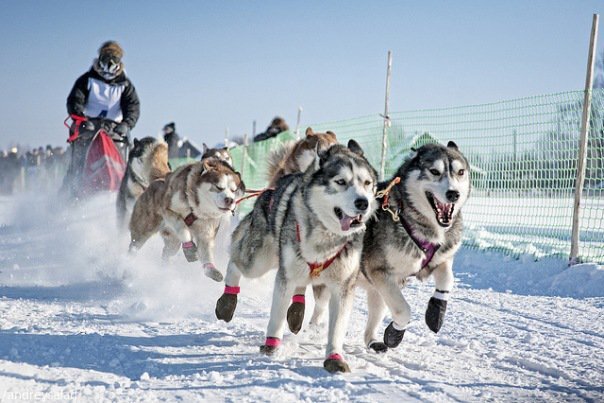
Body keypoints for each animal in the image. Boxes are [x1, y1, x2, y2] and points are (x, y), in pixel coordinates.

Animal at [217, 141, 378, 372]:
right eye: (341, 182)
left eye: (367, 183)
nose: (363, 203)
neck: (326, 237)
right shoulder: (285, 277)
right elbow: (276, 315)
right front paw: (271, 347)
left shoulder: (343, 286)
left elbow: (337, 326)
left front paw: (335, 357)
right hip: (258, 261)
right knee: (235, 263)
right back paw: (227, 301)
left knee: (301, 287)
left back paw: (297, 311)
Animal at [356, 142, 470, 354]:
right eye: (434, 171)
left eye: (460, 172)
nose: (453, 193)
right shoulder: (381, 273)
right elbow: (403, 311)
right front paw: (394, 333)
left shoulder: (441, 259)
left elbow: (447, 279)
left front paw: (436, 311)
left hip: (375, 292)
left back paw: (372, 341)